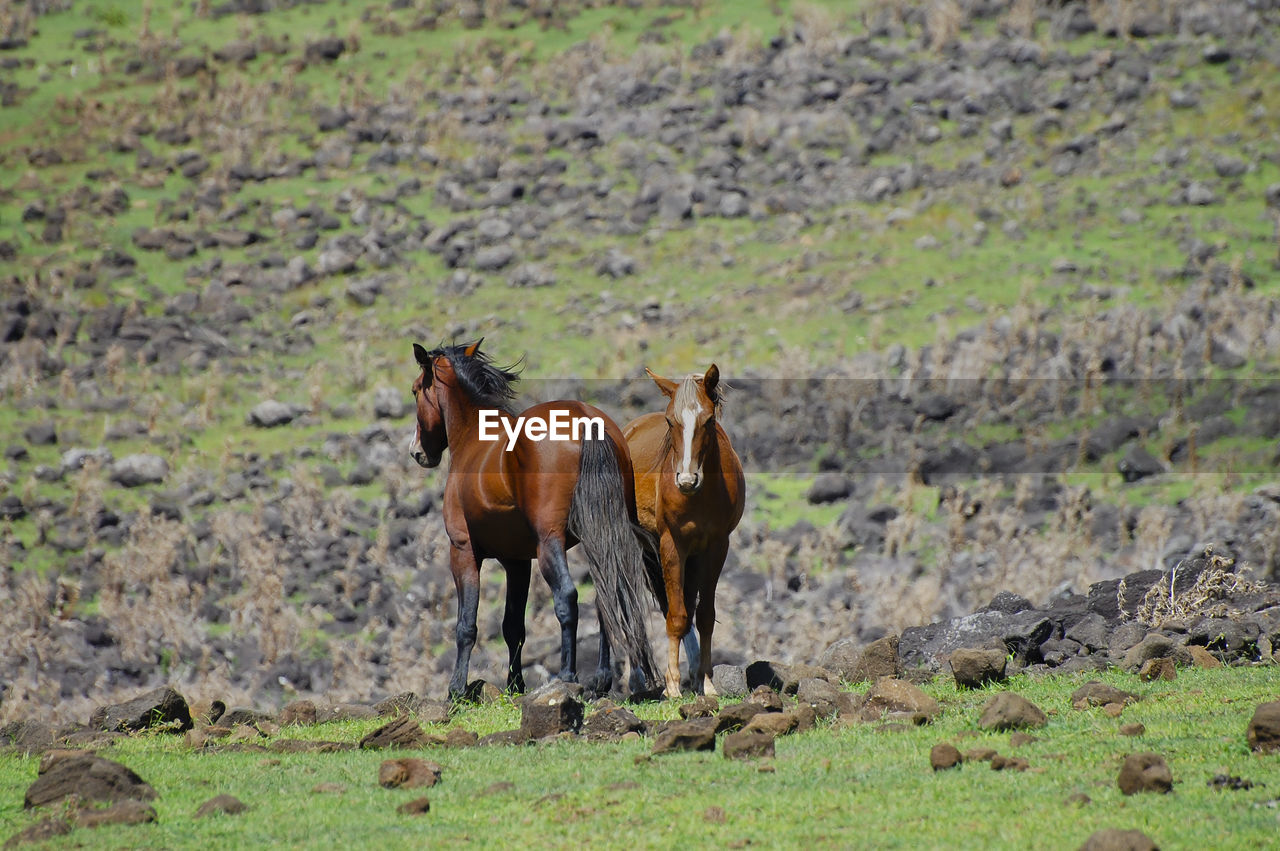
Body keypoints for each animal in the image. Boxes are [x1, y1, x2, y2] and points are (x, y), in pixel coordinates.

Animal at [407, 335, 655, 701]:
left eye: (415, 390)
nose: (418, 452)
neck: (474, 438)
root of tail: (585, 419)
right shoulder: (517, 562)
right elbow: (513, 627)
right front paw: (515, 686)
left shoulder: (463, 551)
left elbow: (467, 625)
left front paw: (457, 690)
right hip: (602, 534)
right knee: (610, 595)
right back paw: (612, 680)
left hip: (549, 543)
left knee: (568, 597)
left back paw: (568, 676)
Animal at [624, 365, 747, 696]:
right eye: (671, 420)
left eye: (709, 420)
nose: (687, 480)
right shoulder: (671, 545)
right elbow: (676, 616)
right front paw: (672, 685)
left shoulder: (716, 547)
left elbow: (704, 616)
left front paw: (706, 681)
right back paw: (636, 679)